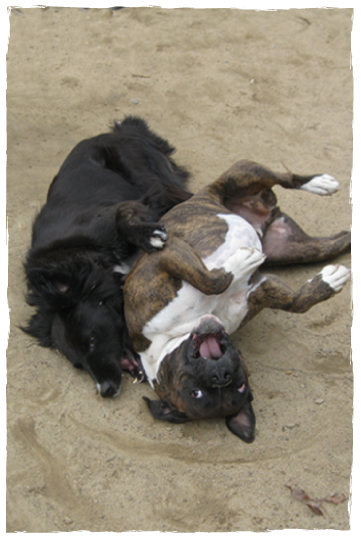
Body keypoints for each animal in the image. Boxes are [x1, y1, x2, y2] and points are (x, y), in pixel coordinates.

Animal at [21, 117, 191, 396]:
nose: (106, 390)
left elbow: (123, 213)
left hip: (145, 171)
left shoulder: (119, 210)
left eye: (91, 340)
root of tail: (119, 131)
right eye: (77, 364)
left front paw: (149, 236)